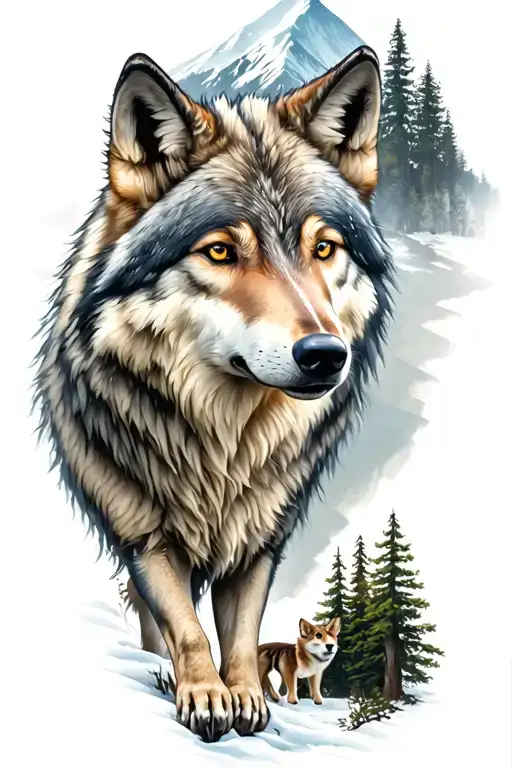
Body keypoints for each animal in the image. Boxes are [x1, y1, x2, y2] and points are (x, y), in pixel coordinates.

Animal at [33, 44, 393, 743]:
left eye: (324, 247)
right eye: (222, 251)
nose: (325, 355)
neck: (222, 444)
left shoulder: (261, 537)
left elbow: (244, 630)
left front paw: (246, 695)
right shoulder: (143, 532)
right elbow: (184, 625)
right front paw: (202, 693)